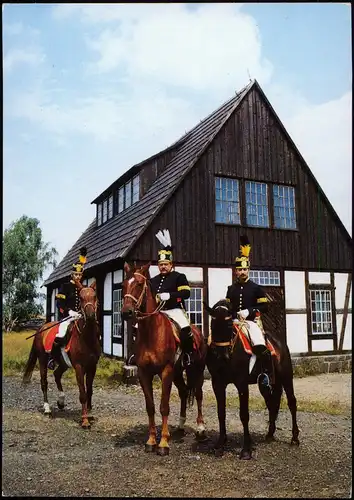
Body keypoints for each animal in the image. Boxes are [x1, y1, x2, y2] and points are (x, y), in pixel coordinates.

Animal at [22, 282, 101, 430]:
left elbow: (89, 391)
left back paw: (61, 401)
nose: (90, 315)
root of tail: (42, 328)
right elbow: (83, 393)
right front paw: (84, 420)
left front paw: (89, 414)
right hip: (42, 360)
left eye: (94, 296)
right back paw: (47, 409)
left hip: (63, 363)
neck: (86, 338)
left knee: (57, 374)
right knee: (44, 382)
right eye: (81, 298)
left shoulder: (92, 366)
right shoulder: (79, 367)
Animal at [121, 262, 207, 458]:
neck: (151, 332)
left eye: (139, 284)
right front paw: (151, 441)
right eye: (123, 285)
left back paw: (200, 428)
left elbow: (164, 406)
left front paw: (163, 443)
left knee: (198, 394)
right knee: (183, 392)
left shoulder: (165, 371)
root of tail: (197, 332)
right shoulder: (144, 373)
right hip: (177, 372)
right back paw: (181, 425)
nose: (126, 313)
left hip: (195, 370)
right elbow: (151, 406)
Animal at [205, 298, 298, 458]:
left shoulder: (242, 384)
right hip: (266, 384)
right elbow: (221, 413)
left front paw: (246, 449)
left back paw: (295, 438)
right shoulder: (217, 383)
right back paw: (270, 434)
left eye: (229, 325)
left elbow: (244, 415)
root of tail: (277, 341)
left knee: (291, 402)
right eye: (212, 324)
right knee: (272, 403)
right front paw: (220, 444)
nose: (221, 356)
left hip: (286, 377)